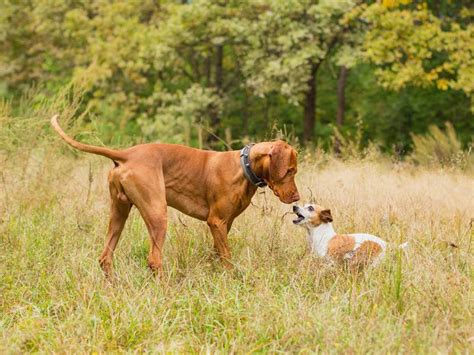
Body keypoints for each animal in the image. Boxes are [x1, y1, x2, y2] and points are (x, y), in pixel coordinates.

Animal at [51, 115, 300, 276]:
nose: (297, 198)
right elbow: (227, 258)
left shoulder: (224, 225)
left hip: (118, 213)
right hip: (158, 214)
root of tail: (127, 154)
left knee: (105, 258)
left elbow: (217, 253)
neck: (243, 166)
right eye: (290, 170)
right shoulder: (217, 221)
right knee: (154, 260)